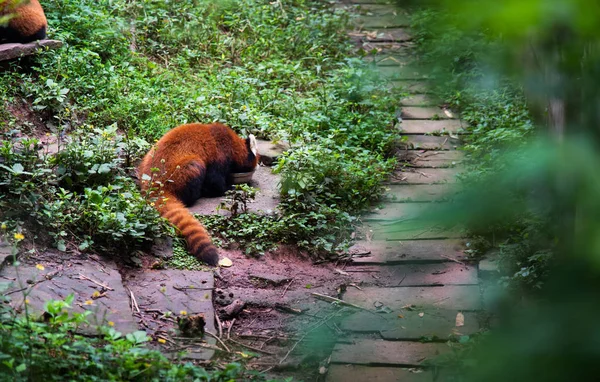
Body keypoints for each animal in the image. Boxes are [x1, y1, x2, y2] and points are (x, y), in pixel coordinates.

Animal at [138, 123, 260, 266]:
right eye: (257, 159)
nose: (258, 166)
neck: (232, 142)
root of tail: (155, 186)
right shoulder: (219, 154)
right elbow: (214, 182)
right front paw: (230, 187)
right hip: (184, 171)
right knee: (196, 168)